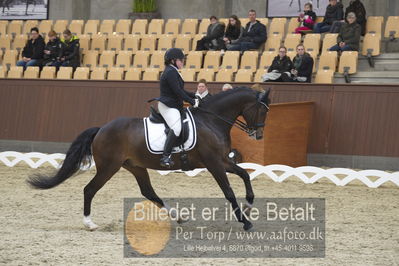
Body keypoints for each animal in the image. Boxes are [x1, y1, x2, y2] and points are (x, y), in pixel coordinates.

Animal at [28, 87, 272, 231]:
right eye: (262, 110)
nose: (259, 135)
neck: (211, 121)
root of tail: (101, 129)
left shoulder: (222, 161)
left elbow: (244, 175)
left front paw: (249, 206)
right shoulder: (214, 164)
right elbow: (228, 191)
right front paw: (246, 221)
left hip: (135, 166)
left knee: (148, 192)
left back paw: (178, 217)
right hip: (109, 167)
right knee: (89, 189)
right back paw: (89, 223)